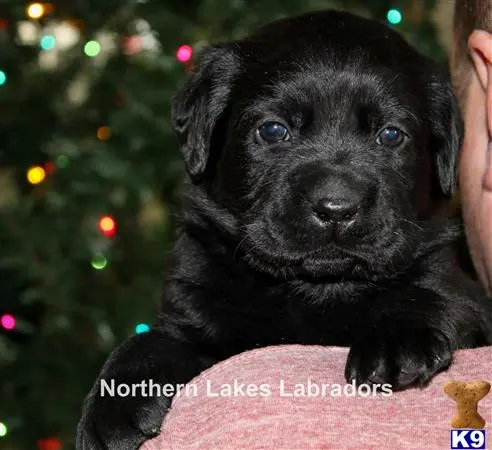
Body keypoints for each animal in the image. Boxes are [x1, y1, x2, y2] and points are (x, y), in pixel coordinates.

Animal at [76, 9, 492, 450]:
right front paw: (112, 403)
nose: (336, 208)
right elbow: (152, 339)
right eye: (273, 130)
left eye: (391, 135)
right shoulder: (194, 309)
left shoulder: (457, 289)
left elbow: (436, 299)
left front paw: (396, 340)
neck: (314, 290)